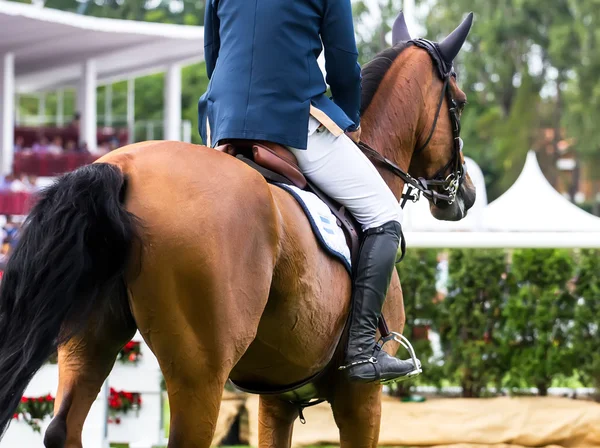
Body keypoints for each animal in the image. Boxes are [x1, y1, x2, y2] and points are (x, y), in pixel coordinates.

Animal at [0, 11, 474, 448]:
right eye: (462, 101)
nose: (464, 193)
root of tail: (123, 169)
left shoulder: (278, 398)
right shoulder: (361, 396)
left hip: (88, 338)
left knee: (63, 427)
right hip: (201, 374)